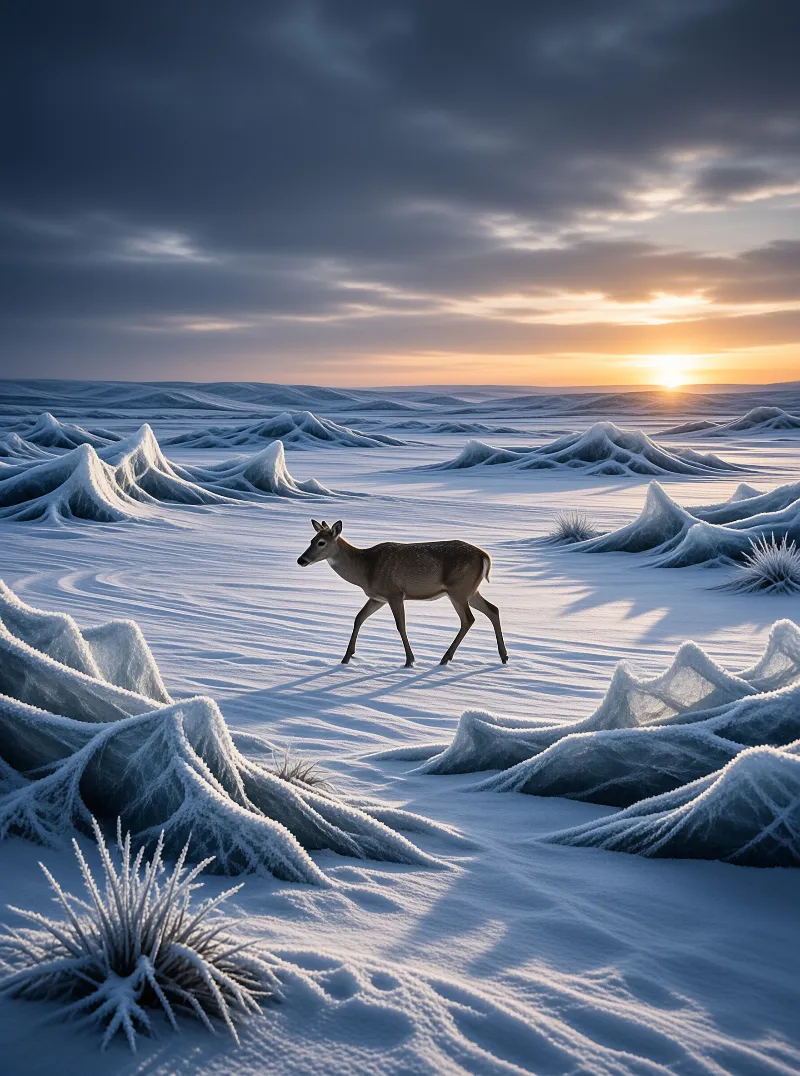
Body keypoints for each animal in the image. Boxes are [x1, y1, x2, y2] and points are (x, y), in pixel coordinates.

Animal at [296, 519, 508, 667]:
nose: (301, 560)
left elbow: (400, 625)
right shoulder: (377, 597)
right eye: (311, 540)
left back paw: (445, 657)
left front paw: (409, 660)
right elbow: (359, 618)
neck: (366, 569)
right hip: (470, 590)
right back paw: (503, 656)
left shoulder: (394, 593)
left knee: (468, 619)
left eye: (321, 542)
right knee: (493, 609)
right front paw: (346, 656)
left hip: (458, 589)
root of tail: (484, 556)